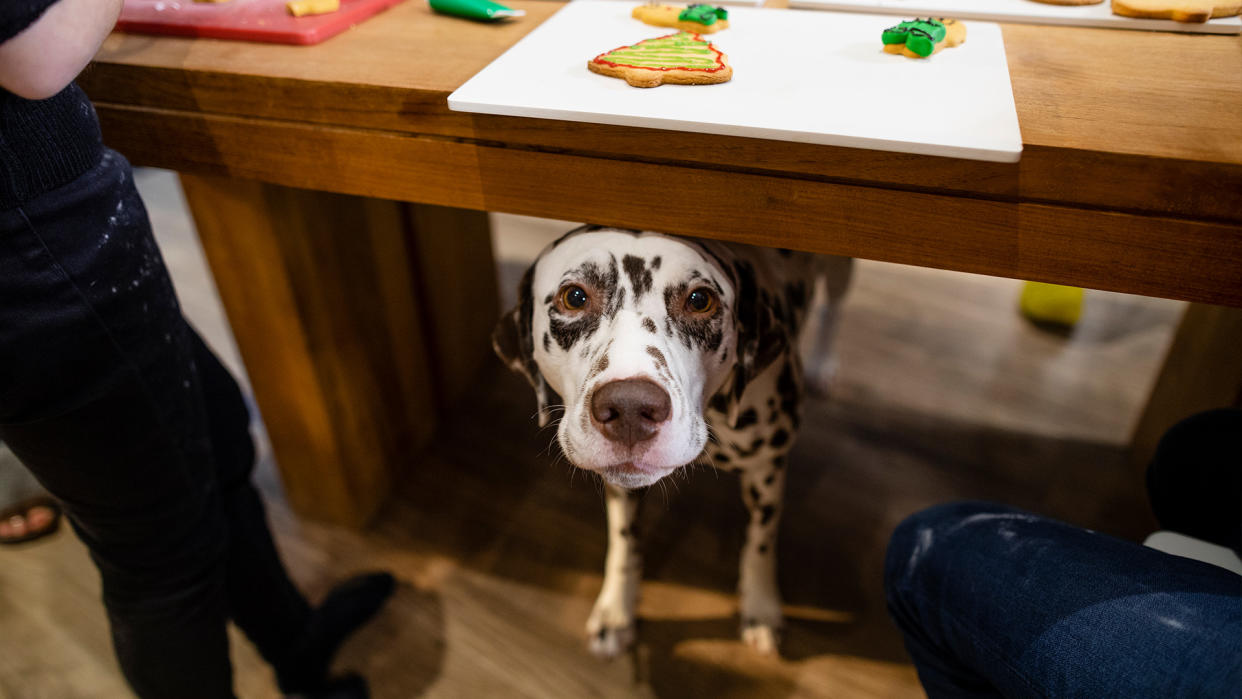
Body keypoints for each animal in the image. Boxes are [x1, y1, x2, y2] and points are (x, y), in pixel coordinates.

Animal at [494, 227, 854, 660]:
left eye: (700, 300)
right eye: (575, 297)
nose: (630, 408)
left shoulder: (767, 471)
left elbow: (760, 543)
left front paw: (761, 608)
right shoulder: (622, 487)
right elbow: (623, 543)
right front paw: (616, 610)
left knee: (835, 305)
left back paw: (822, 364)